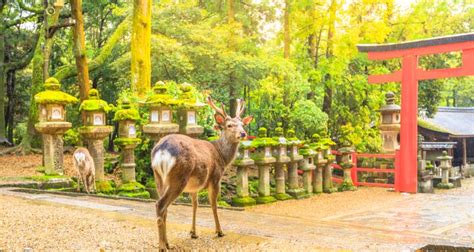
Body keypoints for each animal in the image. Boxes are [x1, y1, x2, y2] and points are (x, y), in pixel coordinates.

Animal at [153, 96, 254, 250]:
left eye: (242, 124)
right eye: (229, 125)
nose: (243, 133)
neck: (222, 156)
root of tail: (162, 150)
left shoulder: (194, 187)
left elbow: (195, 205)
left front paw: (193, 233)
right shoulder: (215, 178)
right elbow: (214, 205)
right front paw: (219, 231)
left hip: (159, 178)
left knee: (164, 209)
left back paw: (168, 243)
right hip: (178, 177)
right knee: (160, 205)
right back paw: (162, 247)